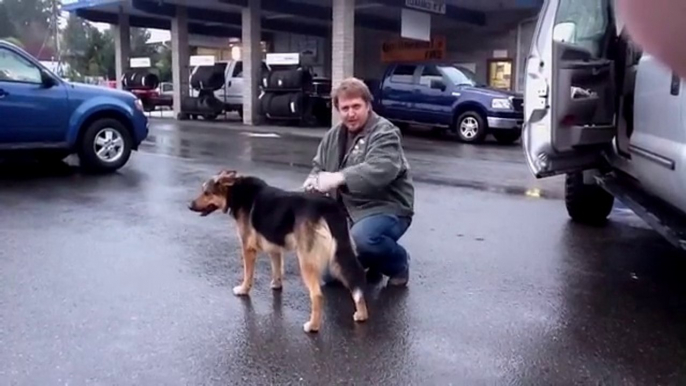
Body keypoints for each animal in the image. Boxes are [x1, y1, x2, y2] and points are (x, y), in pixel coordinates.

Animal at [188, 170, 370, 334]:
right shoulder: (274, 247)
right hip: (340, 255)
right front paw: (276, 285)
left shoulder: (248, 248)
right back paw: (361, 315)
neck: (237, 192)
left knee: (317, 295)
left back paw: (313, 326)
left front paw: (243, 290)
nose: (189, 205)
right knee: (356, 279)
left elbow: (248, 274)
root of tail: (328, 207)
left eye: (207, 193)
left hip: (307, 261)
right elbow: (277, 268)